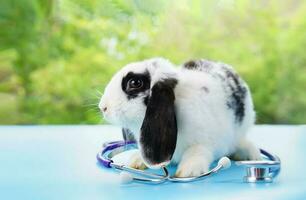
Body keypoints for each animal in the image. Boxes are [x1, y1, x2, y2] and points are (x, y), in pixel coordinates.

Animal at [98, 57, 260, 177]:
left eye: (135, 82)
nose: (103, 107)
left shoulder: (205, 141)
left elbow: (197, 151)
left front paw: (188, 171)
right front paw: (136, 161)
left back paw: (253, 156)